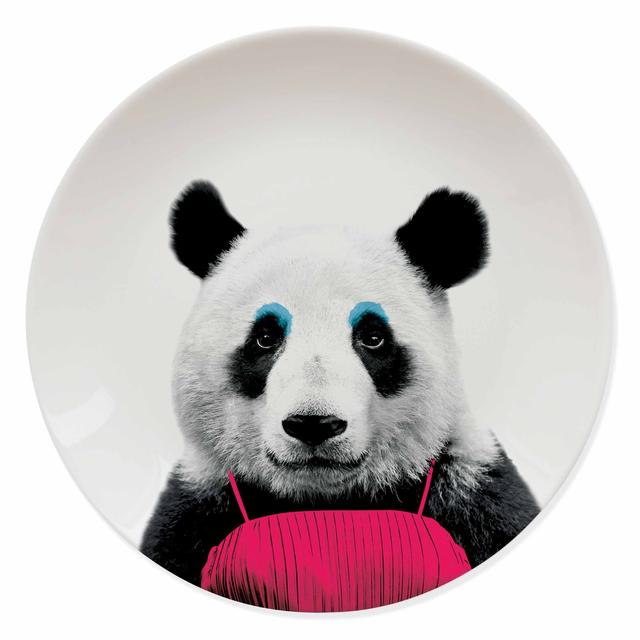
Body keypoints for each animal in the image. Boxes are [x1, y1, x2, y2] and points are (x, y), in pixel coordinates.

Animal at [141, 180, 540, 589]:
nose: (313, 424)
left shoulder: (469, 493)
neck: (330, 499)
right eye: (265, 337)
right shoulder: (199, 510)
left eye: (373, 337)